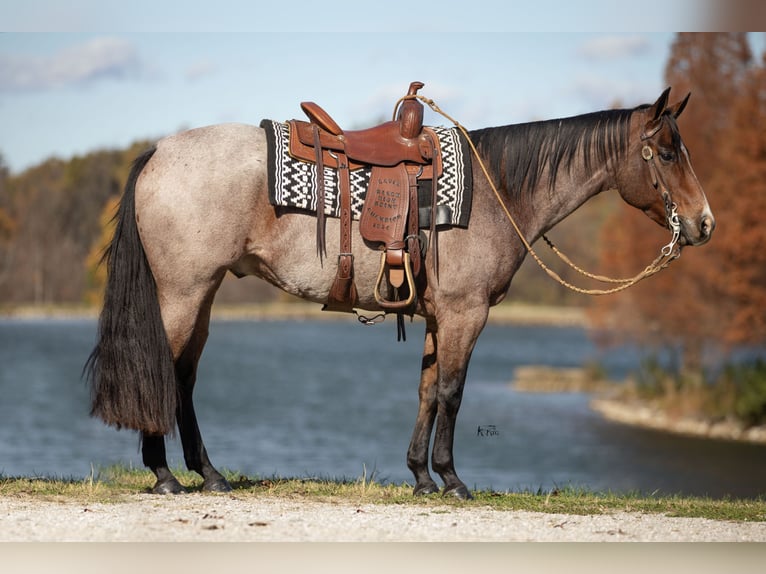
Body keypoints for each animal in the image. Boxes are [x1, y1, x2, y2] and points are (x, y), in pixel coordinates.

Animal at [87, 85, 716, 500]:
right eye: (666, 153)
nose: (704, 223)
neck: (497, 192)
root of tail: (160, 152)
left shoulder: (440, 318)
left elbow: (427, 391)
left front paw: (419, 475)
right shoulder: (466, 314)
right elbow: (453, 394)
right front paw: (453, 479)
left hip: (202, 295)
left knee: (184, 378)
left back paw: (209, 474)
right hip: (183, 294)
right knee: (164, 371)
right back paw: (165, 475)